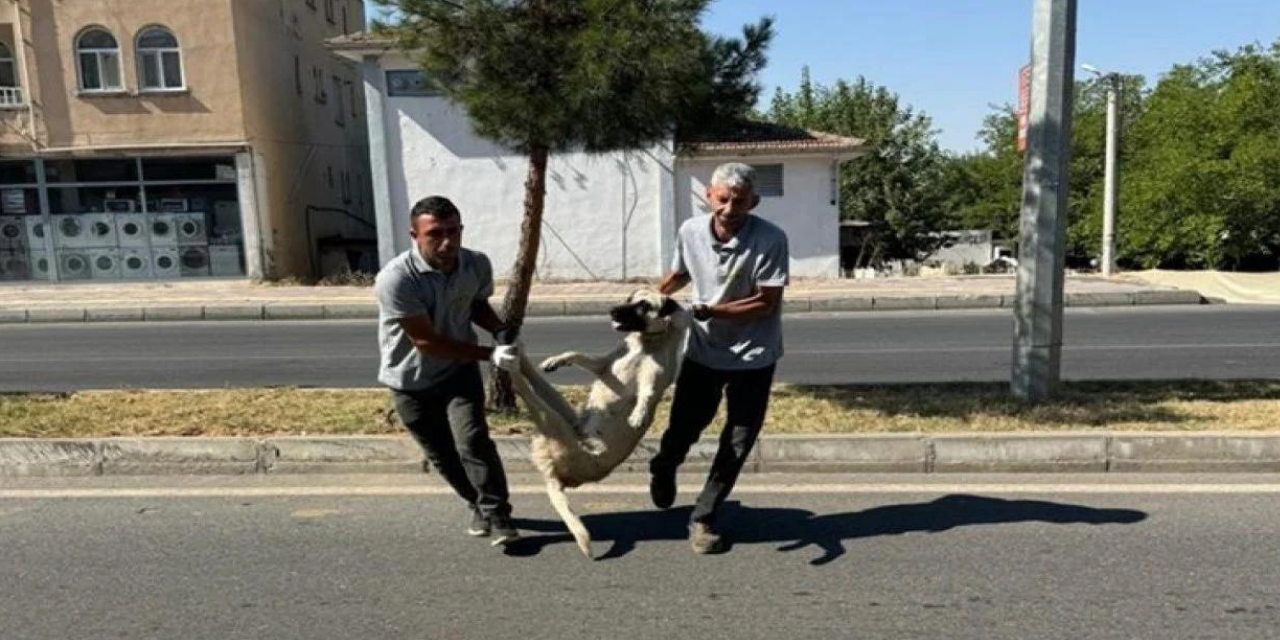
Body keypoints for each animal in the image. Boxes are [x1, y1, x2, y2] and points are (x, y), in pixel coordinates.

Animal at [504, 288, 696, 558]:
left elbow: (647, 395)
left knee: (527, 390)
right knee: (535, 382)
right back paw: (518, 357)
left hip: (555, 424)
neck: (646, 344)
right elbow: (576, 354)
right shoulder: (601, 364)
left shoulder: (654, 381)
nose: (612, 311)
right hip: (563, 416)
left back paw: (509, 364)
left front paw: (639, 414)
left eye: (644, 305)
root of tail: (554, 476)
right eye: (628, 299)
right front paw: (557, 359)